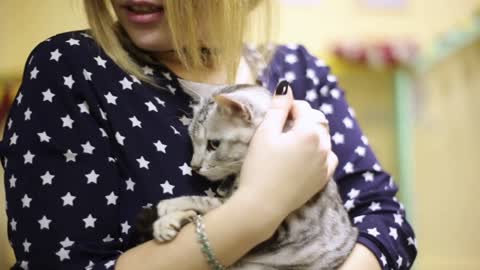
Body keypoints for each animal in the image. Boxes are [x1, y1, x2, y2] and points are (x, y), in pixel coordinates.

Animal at [152, 80, 358, 270]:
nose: (194, 166)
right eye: (193, 141)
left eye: (213, 144)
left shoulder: (282, 229)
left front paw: (171, 207)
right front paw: (173, 219)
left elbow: (209, 202)